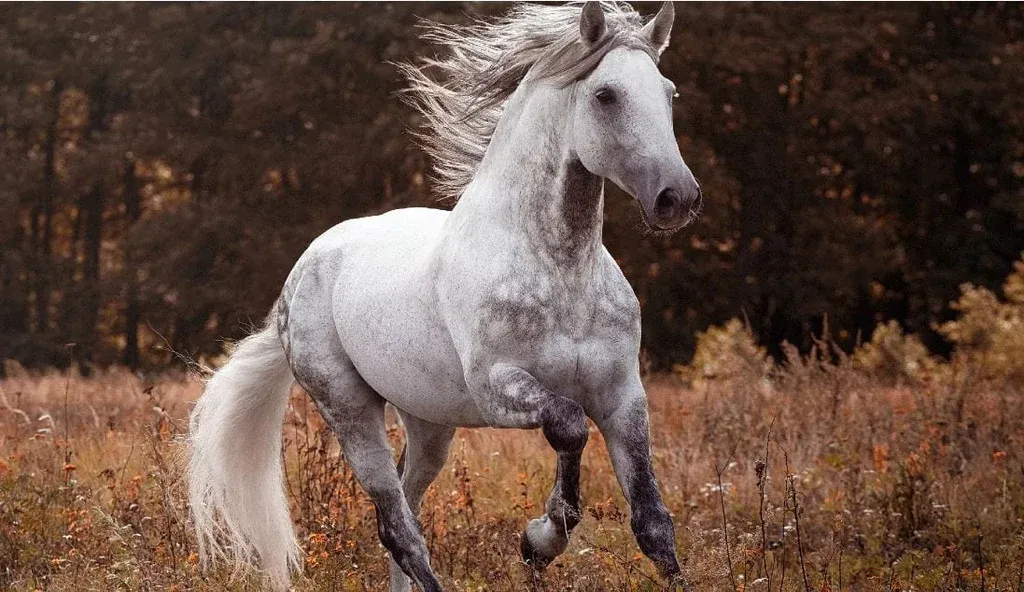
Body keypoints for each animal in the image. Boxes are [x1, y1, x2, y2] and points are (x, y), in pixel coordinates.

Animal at [187, 2, 701, 590]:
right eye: (605, 95)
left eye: (668, 92)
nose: (677, 198)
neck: (563, 273)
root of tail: (297, 281)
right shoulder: (498, 388)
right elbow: (570, 427)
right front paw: (538, 542)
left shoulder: (622, 397)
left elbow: (652, 521)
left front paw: (545, 540)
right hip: (349, 410)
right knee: (399, 528)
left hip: (429, 422)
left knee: (406, 509)